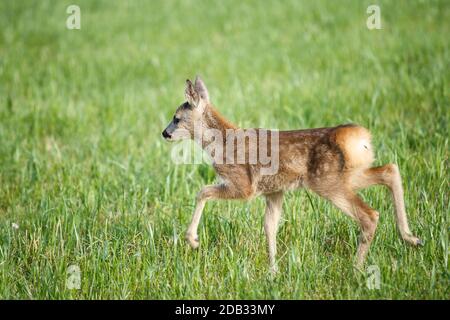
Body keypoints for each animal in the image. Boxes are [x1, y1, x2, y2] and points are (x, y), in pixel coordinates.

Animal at [162, 76, 422, 272]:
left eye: (177, 118)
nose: (165, 133)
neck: (220, 143)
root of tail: (360, 138)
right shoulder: (274, 191)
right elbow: (269, 227)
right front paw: (273, 271)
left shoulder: (244, 185)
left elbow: (202, 192)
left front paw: (192, 239)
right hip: (349, 175)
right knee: (390, 170)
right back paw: (411, 238)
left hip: (327, 181)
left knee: (370, 215)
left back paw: (356, 270)